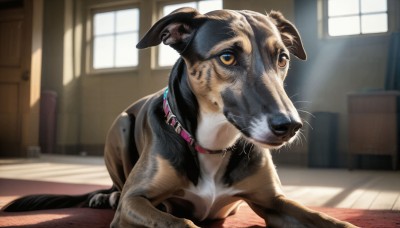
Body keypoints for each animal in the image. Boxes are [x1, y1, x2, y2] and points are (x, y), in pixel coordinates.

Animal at [3, 7, 358, 228]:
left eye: (282, 58)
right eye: (227, 57)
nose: (290, 126)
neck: (213, 143)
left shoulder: (274, 202)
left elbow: (329, 220)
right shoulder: (135, 202)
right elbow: (179, 222)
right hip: (120, 126)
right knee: (116, 185)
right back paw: (105, 195)